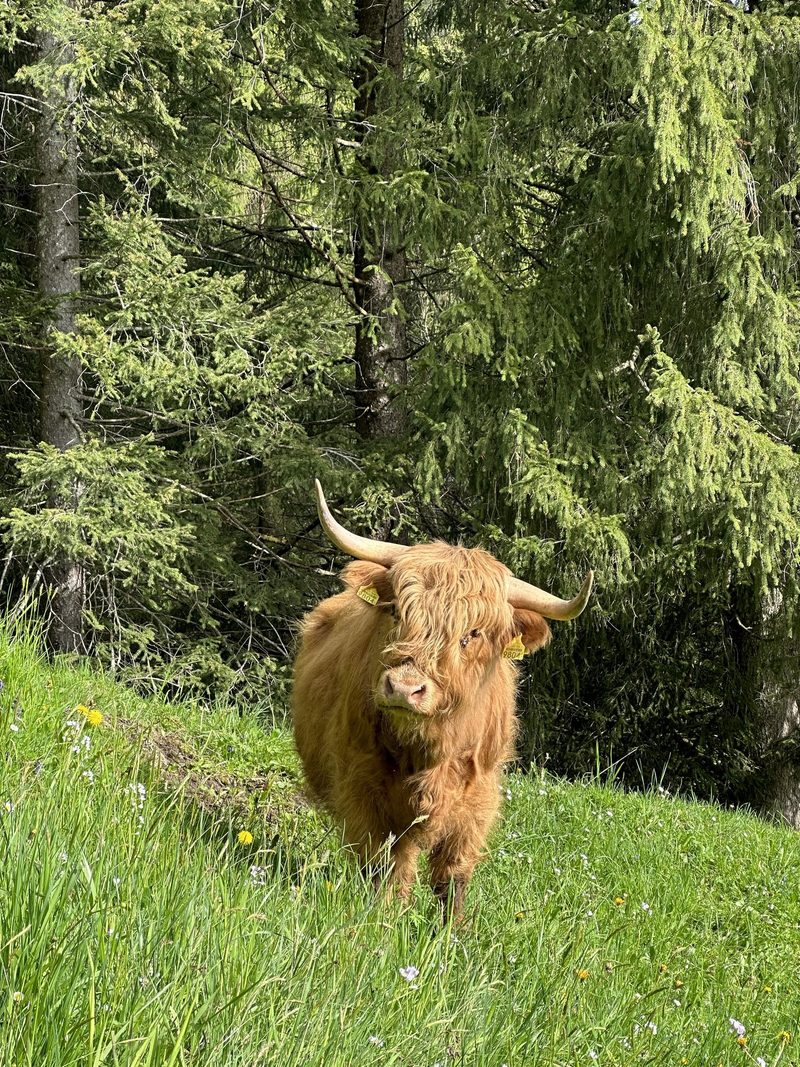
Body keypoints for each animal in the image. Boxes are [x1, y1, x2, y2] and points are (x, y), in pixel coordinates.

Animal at [292, 481, 593, 917]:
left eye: (473, 634)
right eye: (397, 612)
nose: (404, 688)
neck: (427, 749)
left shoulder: (476, 801)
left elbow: (452, 876)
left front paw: (453, 930)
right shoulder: (363, 789)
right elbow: (385, 867)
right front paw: (383, 920)